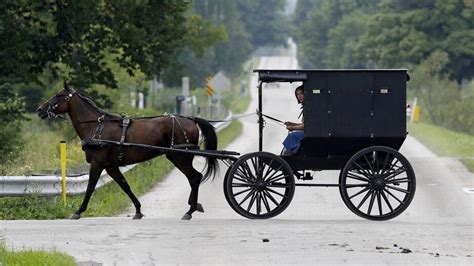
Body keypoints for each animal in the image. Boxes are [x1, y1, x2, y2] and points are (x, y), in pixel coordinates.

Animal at [36, 83, 218, 220]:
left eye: (58, 95)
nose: (40, 109)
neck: (97, 127)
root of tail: (191, 120)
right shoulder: (111, 166)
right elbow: (125, 186)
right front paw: (138, 210)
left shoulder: (97, 163)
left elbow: (90, 187)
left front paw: (78, 211)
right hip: (176, 157)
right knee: (194, 178)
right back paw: (193, 206)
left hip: (181, 157)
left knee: (195, 177)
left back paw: (190, 210)